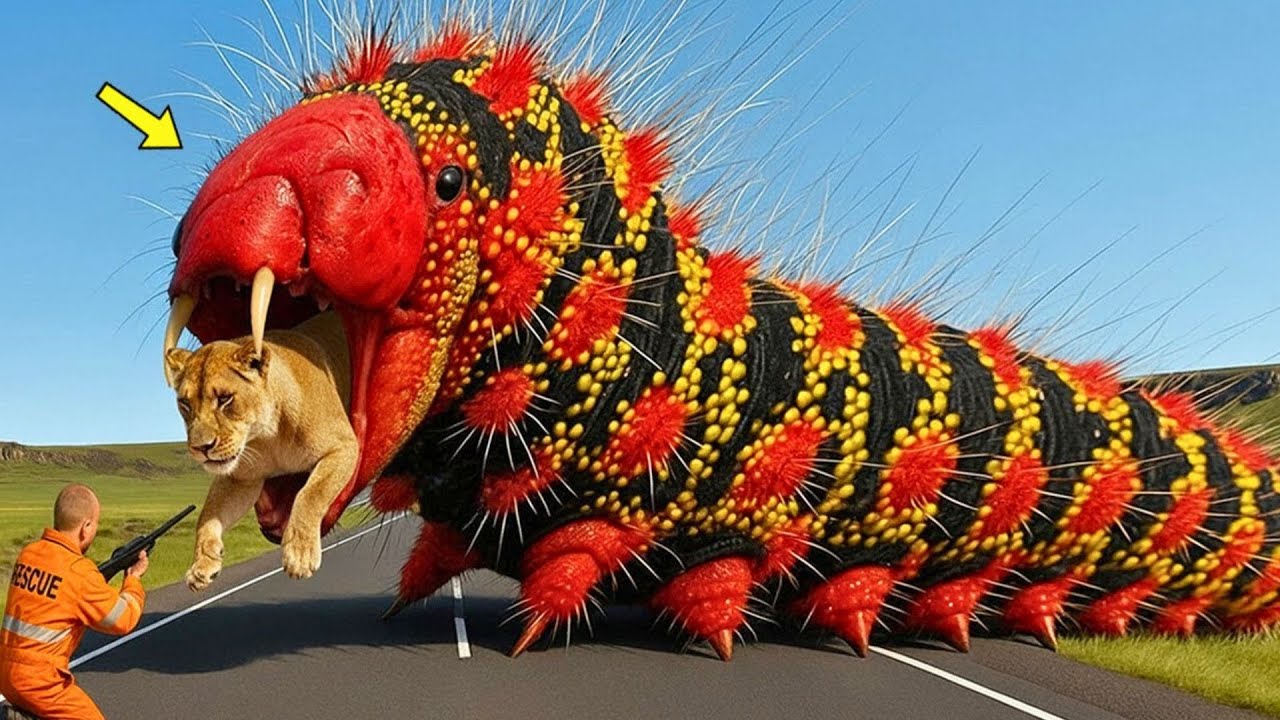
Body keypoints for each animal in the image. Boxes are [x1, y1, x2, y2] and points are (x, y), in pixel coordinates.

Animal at [163, 313, 357, 591]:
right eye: (185, 404)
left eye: (225, 399)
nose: (201, 448)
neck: (268, 437)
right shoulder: (241, 479)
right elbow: (206, 517)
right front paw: (203, 564)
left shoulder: (343, 446)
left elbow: (310, 494)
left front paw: (299, 554)